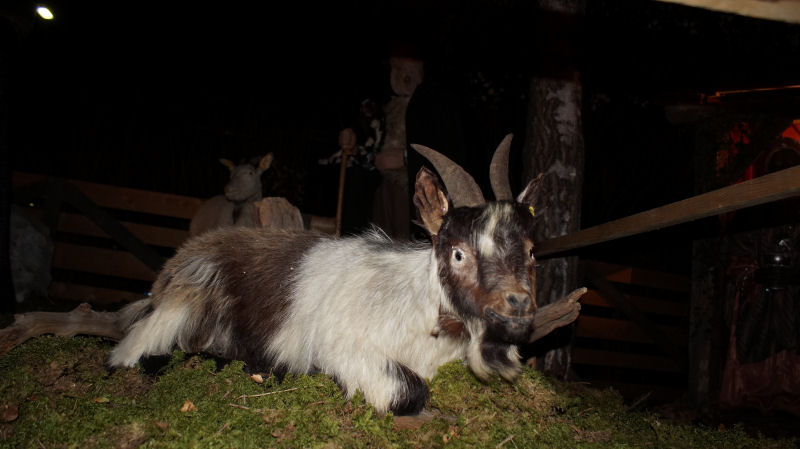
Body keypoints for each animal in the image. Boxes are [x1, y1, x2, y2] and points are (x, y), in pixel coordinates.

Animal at [108, 135, 585, 416]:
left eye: (530, 251)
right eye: (458, 253)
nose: (518, 305)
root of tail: (168, 272)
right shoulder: (342, 348)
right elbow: (407, 391)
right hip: (179, 306)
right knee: (126, 357)